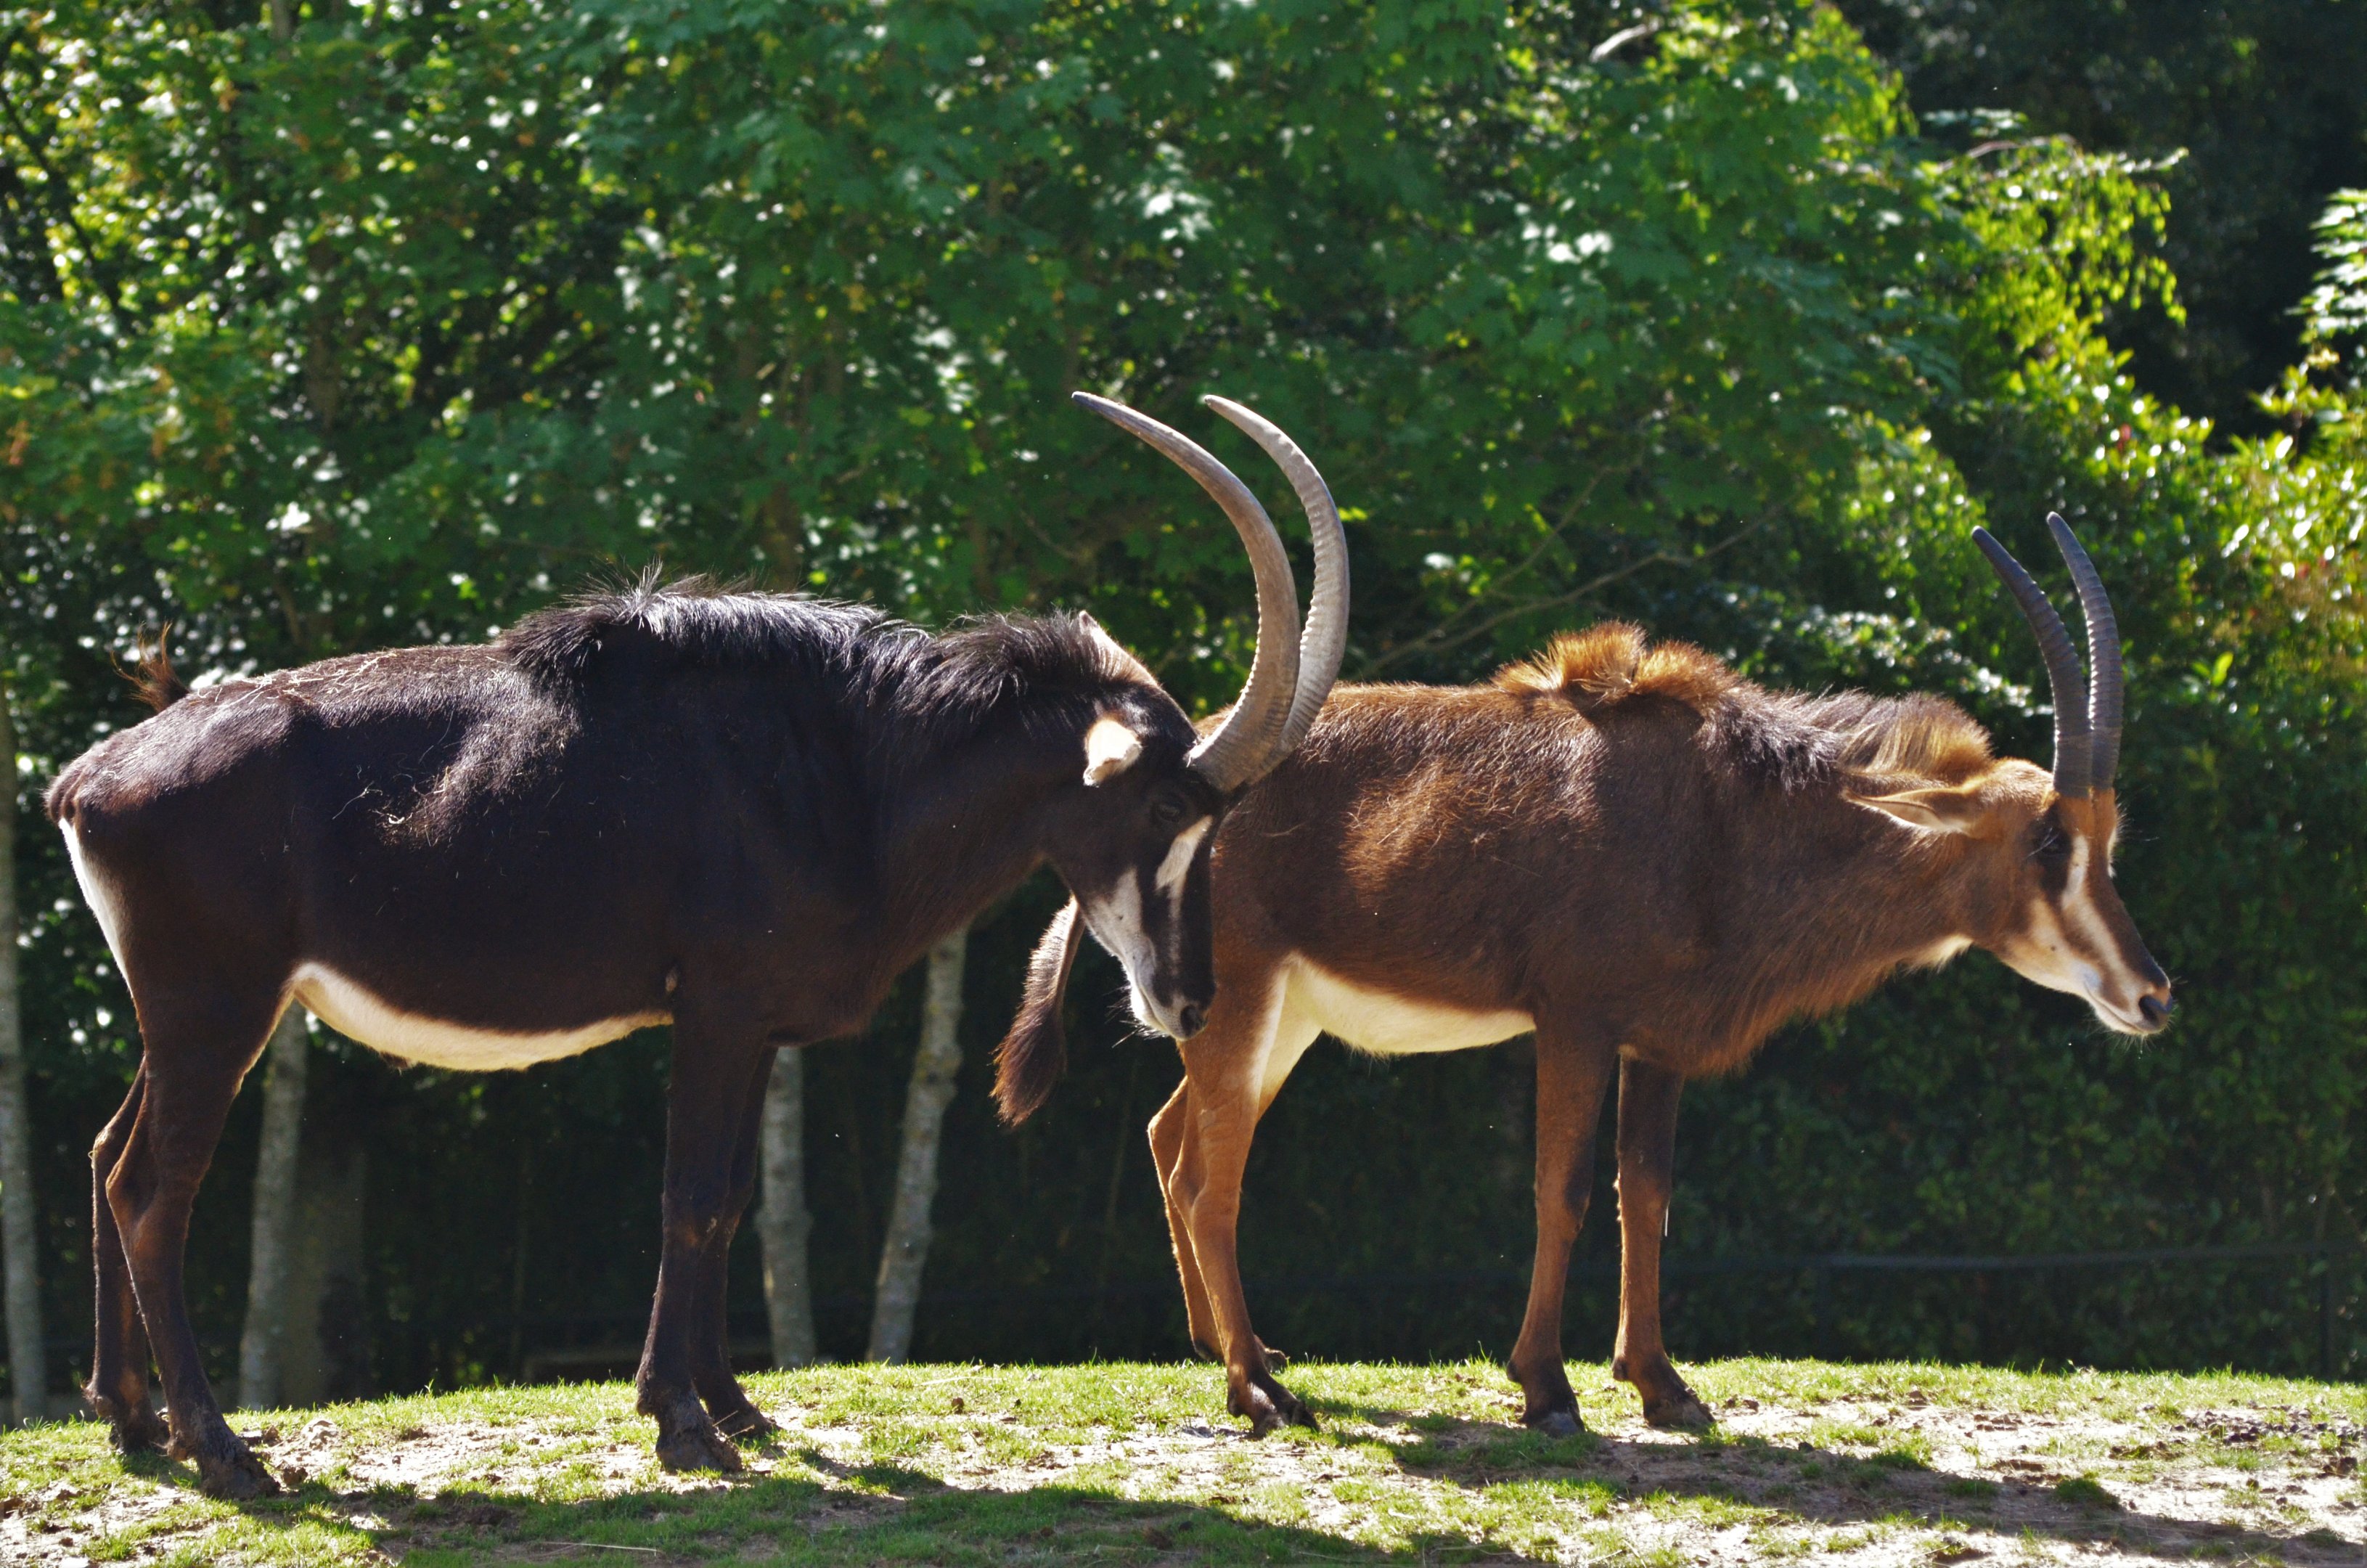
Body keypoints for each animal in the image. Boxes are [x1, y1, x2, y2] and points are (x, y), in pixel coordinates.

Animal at [47, 393, 1346, 1496]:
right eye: (1169, 807)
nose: (1188, 1001)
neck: (852, 767)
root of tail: (90, 779)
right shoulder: (715, 1011)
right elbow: (686, 1196)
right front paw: (680, 1423)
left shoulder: (756, 1025)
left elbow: (728, 1204)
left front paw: (731, 1406)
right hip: (217, 1012)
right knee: (155, 1192)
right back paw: (220, 1449)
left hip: (187, 1019)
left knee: (109, 1158)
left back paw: (132, 1421)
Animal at [996, 516, 2169, 1436]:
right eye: (2048, 842)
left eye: (2107, 837)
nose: (2151, 995)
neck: (1724, 815)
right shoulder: (1575, 1023)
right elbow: (1558, 1191)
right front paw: (1547, 1388)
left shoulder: (1657, 1044)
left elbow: (1643, 1196)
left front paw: (1660, 1385)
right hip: (1243, 1005)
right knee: (1211, 1177)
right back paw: (1252, 1387)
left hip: (1280, 1023)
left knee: (1172, 1139)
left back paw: (1235, 1349)